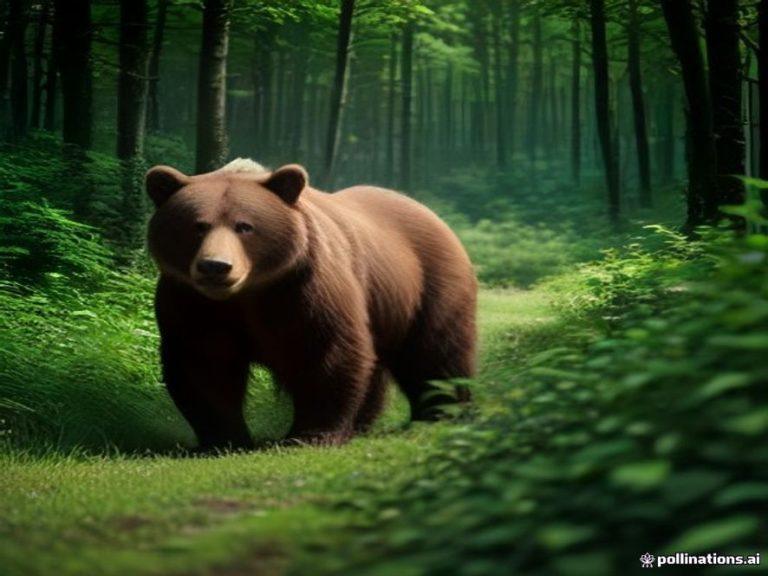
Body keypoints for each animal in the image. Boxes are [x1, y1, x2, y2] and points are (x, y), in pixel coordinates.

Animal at [145, 159, 477, 450]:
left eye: (245, 226)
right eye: (198, 225)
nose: (215, 266)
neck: (250, 292)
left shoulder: (307, 287)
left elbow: (327, 353)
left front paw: (310, 435)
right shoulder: (192, 301)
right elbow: (203, 363)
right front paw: (223, 438)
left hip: (428, 284)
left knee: (435, 352)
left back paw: (442, 413)